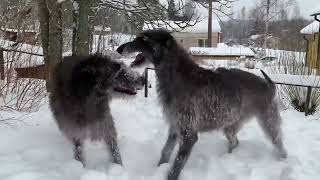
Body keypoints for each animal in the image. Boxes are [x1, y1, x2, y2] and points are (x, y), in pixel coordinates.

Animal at [117, 29, 288, 180]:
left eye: (144, 39)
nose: (119, 49)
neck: (178, 75)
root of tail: (269, 85)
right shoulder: (175, 126)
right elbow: (165, 151)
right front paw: (158, 169)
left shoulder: (188, 133)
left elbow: (177, 164)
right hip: (230, 124)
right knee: (235, 142)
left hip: (268, 121)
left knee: (279, 143)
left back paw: (283, 161)